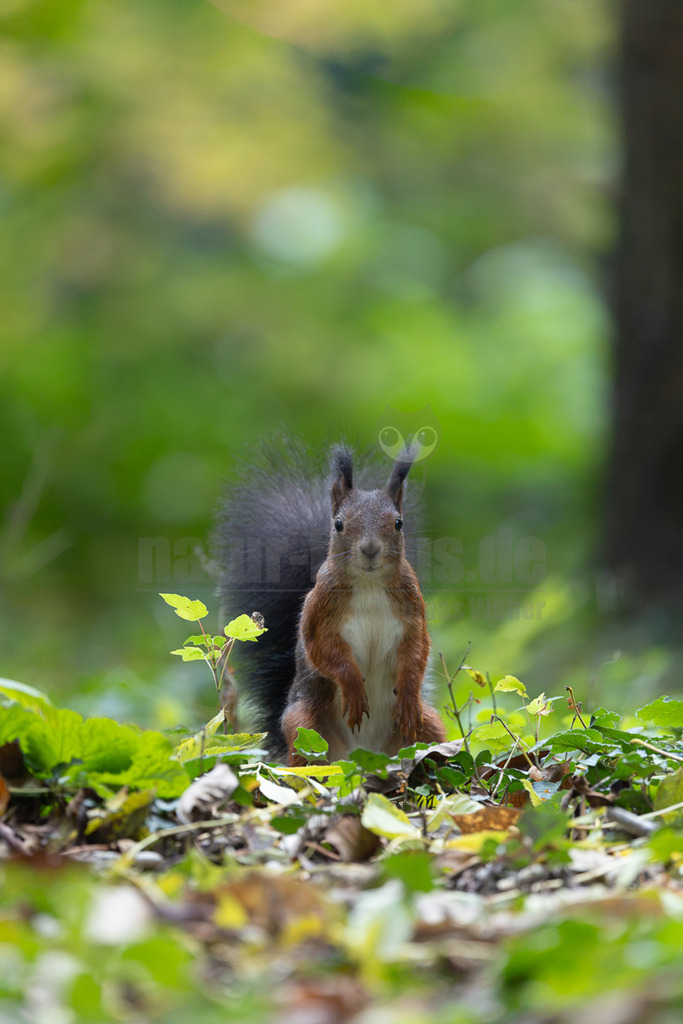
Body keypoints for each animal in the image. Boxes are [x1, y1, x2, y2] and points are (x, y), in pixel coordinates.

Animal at [215, 436, 446, 765]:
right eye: (338, 524)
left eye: (399, 523)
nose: (371, 549)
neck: (369, 584)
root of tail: (365, 757)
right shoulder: (319, 610)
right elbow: (324, 651)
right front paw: (353, 688)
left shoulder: (412, 610)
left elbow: (416, 652)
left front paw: (409, 694)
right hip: (306, 727)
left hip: (427, 728)